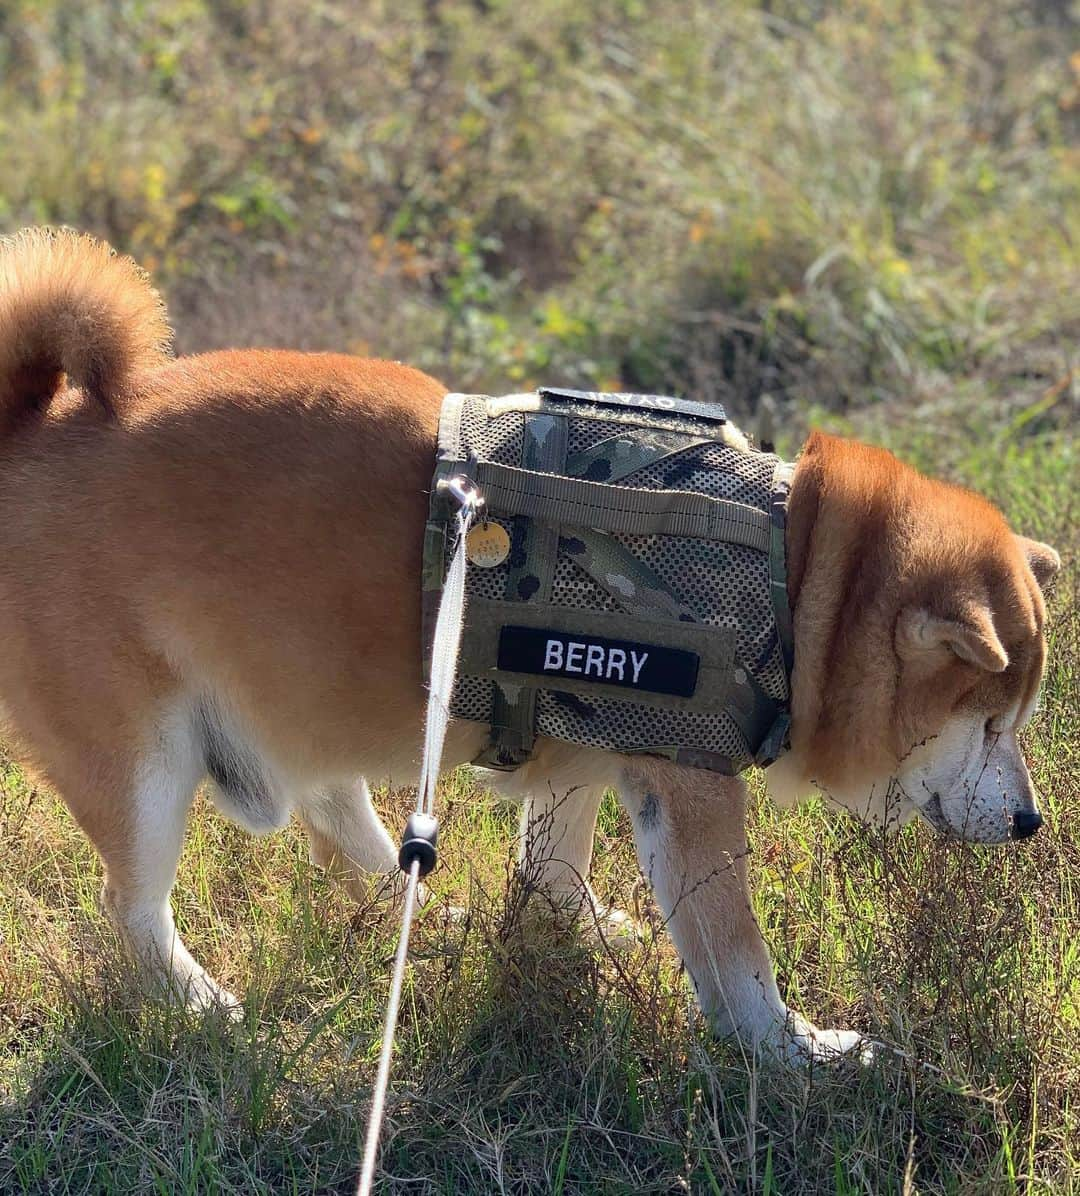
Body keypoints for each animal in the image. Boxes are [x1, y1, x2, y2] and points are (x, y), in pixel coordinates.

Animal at [0, 230, 1062, 1066]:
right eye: (989, 721)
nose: (1030, 824)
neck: (796, 579)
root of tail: (39, 427)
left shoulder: (587, 749)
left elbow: (554, 872)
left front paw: (582, 933)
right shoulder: (689, 787)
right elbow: (735, 958)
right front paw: (804, 1053)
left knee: (342, 832)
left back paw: (429, 919)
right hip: (143, 768)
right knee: (134, 909)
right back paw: (200, 1005)